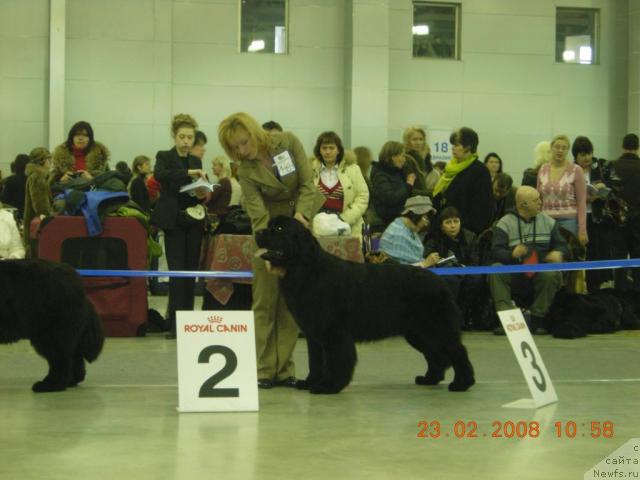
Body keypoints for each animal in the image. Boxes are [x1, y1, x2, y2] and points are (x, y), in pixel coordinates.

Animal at [255, 217, 476, 394]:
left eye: (279, 229)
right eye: (270, 226)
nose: (257, 232)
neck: (306, 270)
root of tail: (440, 282)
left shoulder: (334, 332)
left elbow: (335, 361)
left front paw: (328, 386)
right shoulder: (314, 333)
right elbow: (316, 361)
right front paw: (310, 382)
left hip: (436, 327)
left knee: (458, 352)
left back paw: (462, 384)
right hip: (419, 332)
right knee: (435, 355)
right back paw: (429, 379)